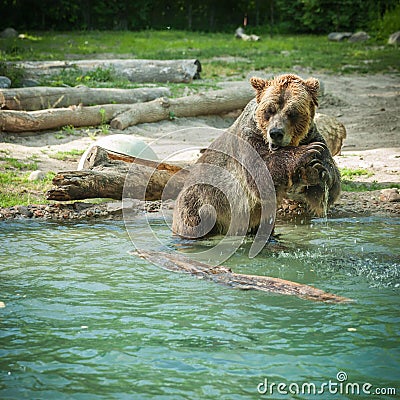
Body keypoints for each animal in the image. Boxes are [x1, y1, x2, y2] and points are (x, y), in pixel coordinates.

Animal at [172, 74, 340, 239]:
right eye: (269, 110)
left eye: (291, 112)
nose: (276, 133)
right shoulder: (249, 139)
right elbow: (260, 175)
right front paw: (307, 152)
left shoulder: (312, 135)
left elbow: (327, 192)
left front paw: (316, 171)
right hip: (201, 203)